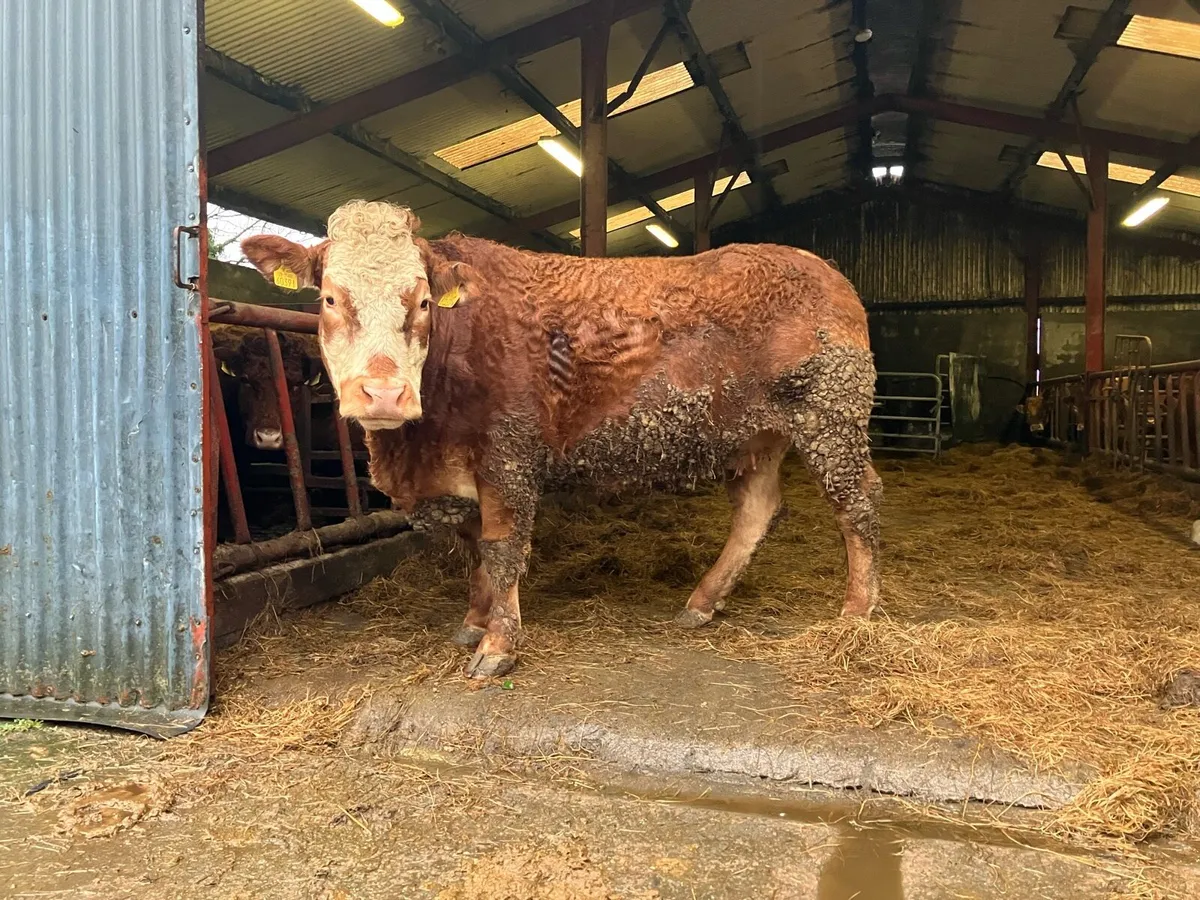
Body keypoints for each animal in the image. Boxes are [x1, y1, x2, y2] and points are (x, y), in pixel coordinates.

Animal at [241, 200, 881, 679]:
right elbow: (475, 548)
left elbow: (502, 548)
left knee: (858, 503)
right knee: (757, 508)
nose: (383, 394)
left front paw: (497, 647)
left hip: (830, 417)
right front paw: (473, 622)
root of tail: (822, 268)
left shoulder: (507, 456)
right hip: (756, 433)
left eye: (422, 301)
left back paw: (857, 614)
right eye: (329, 298)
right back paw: (702, 603)